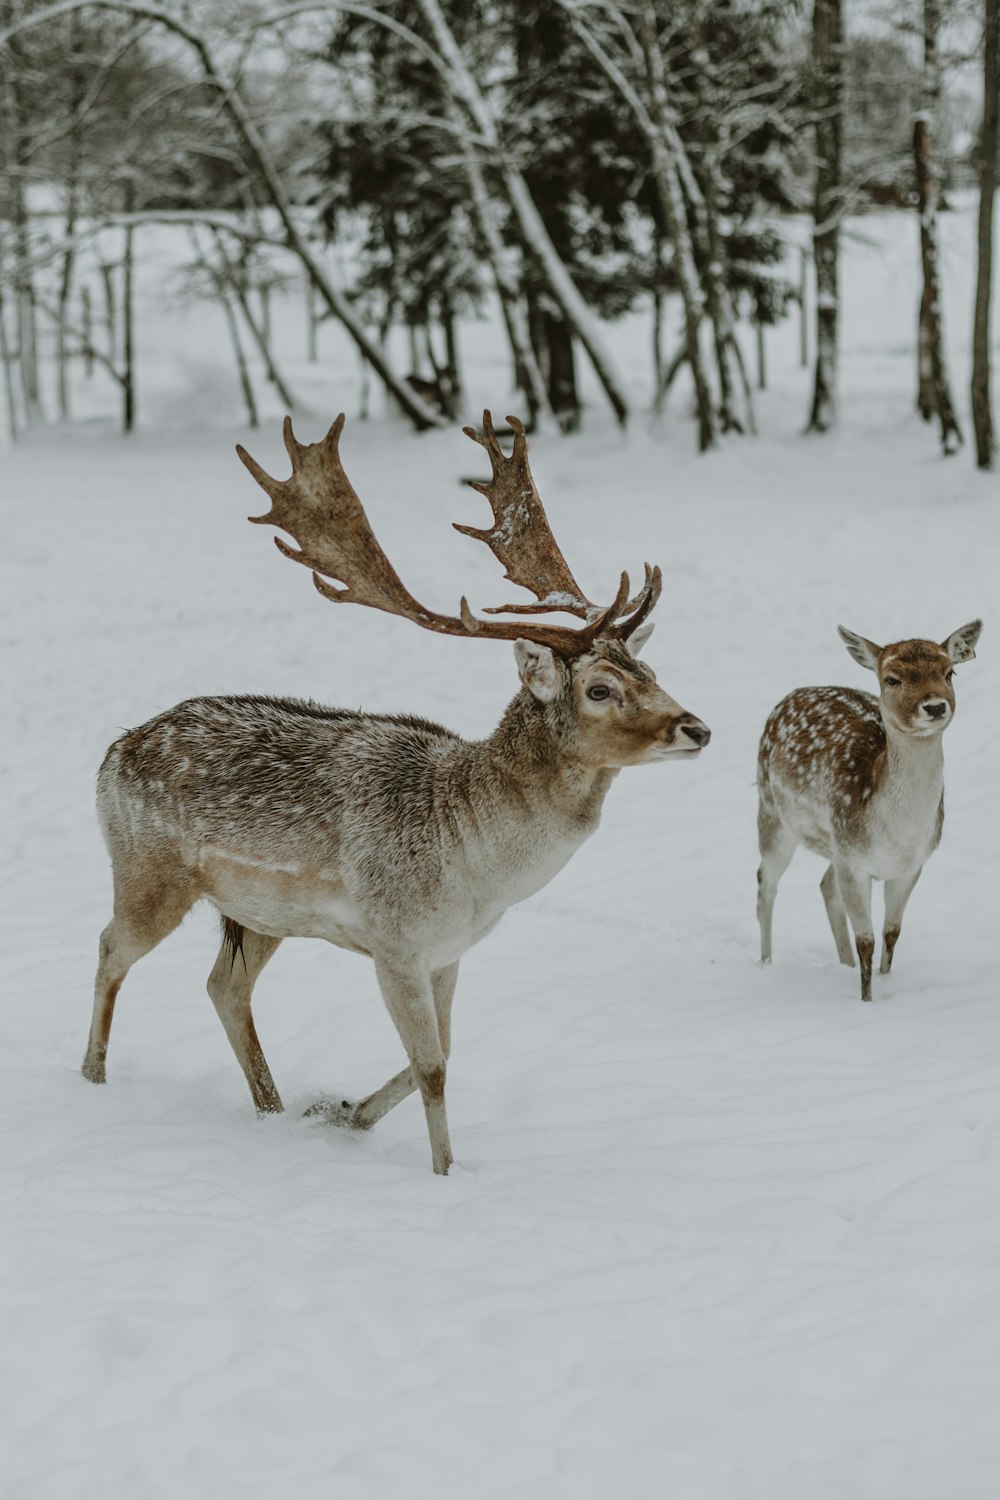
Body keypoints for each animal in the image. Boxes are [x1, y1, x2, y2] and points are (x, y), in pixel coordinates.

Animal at [86, 411, 710, 1170]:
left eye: (650, 669)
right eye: (600, 688)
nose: (698, 728)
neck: (477, 868)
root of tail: (113, 752)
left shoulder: (449, 951)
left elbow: (442, 1056)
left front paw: (342, 1112)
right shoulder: (396, 941)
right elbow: (433, 1066)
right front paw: (445, 1173)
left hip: (259, 913)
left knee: (223, 985)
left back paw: (275, 1110)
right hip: (147, 870)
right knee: (111, 948)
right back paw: (93, 1080)